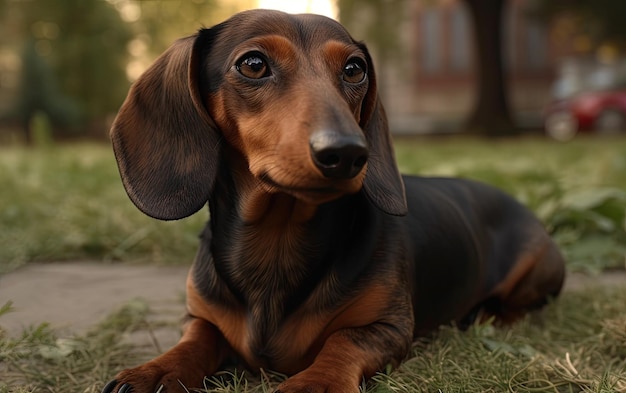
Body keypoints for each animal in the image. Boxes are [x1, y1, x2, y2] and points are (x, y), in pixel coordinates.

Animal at [101, 9, 560, 392]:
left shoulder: (389, 326)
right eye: (253, 64)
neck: (276, 241)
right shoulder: (198, 316)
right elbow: (196, 339)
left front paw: (315, 382)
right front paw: (154, 371)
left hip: (538, 268)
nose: (347, 153)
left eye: (354, 69)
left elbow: (343, 342)